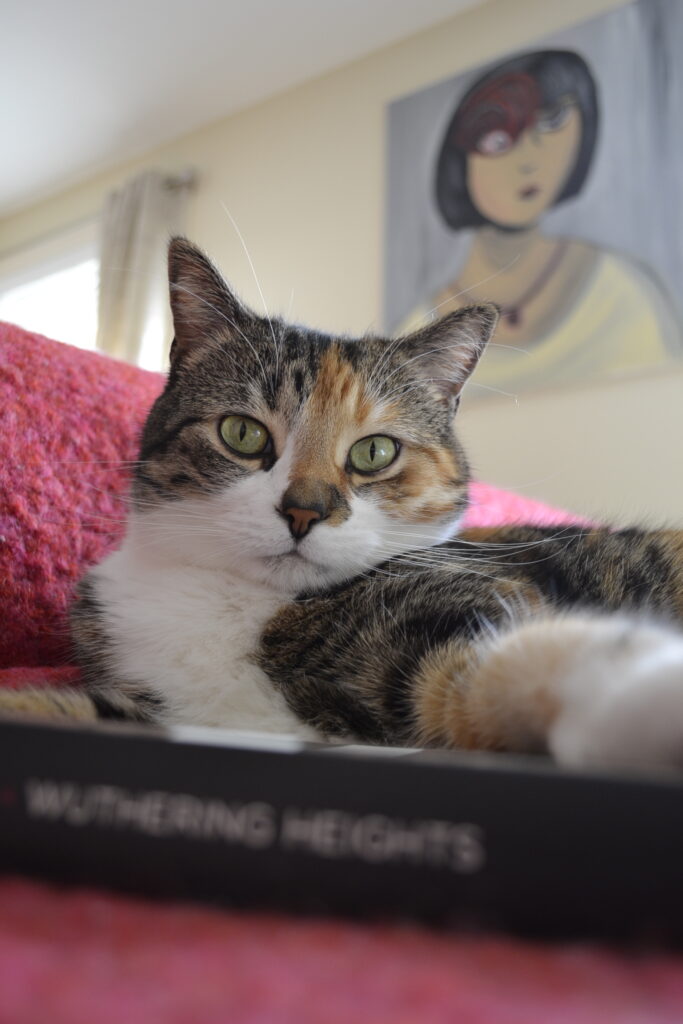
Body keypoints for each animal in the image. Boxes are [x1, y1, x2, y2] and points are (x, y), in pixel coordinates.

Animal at [5, 237, 683, 770]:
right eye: (242, 433)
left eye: (375, 451)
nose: (304, 511)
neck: (241, 604)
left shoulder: (477, 602)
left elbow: (507, 665)